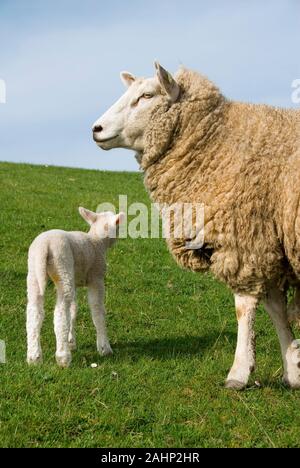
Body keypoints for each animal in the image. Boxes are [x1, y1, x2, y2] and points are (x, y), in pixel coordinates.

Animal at [25, 207, 123, 368]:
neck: (97, 241)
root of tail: (45, 245)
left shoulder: (75, 280)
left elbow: (73, 309)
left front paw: (71, 341)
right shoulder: (96, 279)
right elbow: (97, 310)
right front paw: (104, 347)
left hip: (35, 272)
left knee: (34, 312)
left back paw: (34, 357)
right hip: (62, 264)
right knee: (60, 313)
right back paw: (63, 357)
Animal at [92, 62, 300, 392]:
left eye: (147, 96)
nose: (96, 129)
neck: (218, 141)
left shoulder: (243, 240)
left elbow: (245, 307)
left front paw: (239, 373)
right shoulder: (266, 242)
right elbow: (276, 307)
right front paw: (292, 369)